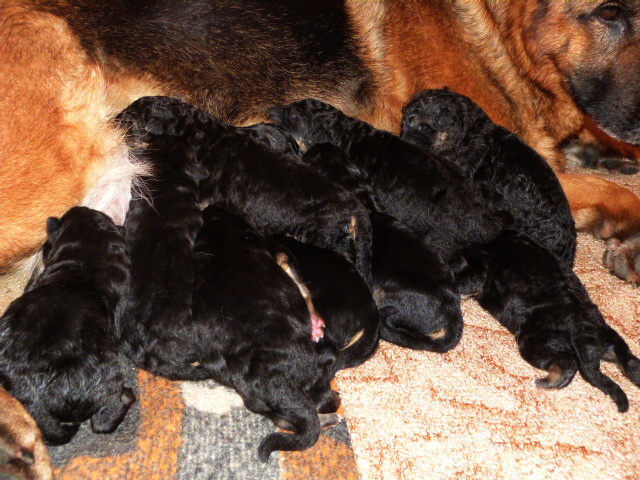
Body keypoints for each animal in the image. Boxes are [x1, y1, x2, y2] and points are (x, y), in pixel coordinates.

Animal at [460, 230, 640, 412]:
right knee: (629, 362)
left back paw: (543, 382)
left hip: (534, 343)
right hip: (612, 342)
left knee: (567, 364)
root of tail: (584, 332)